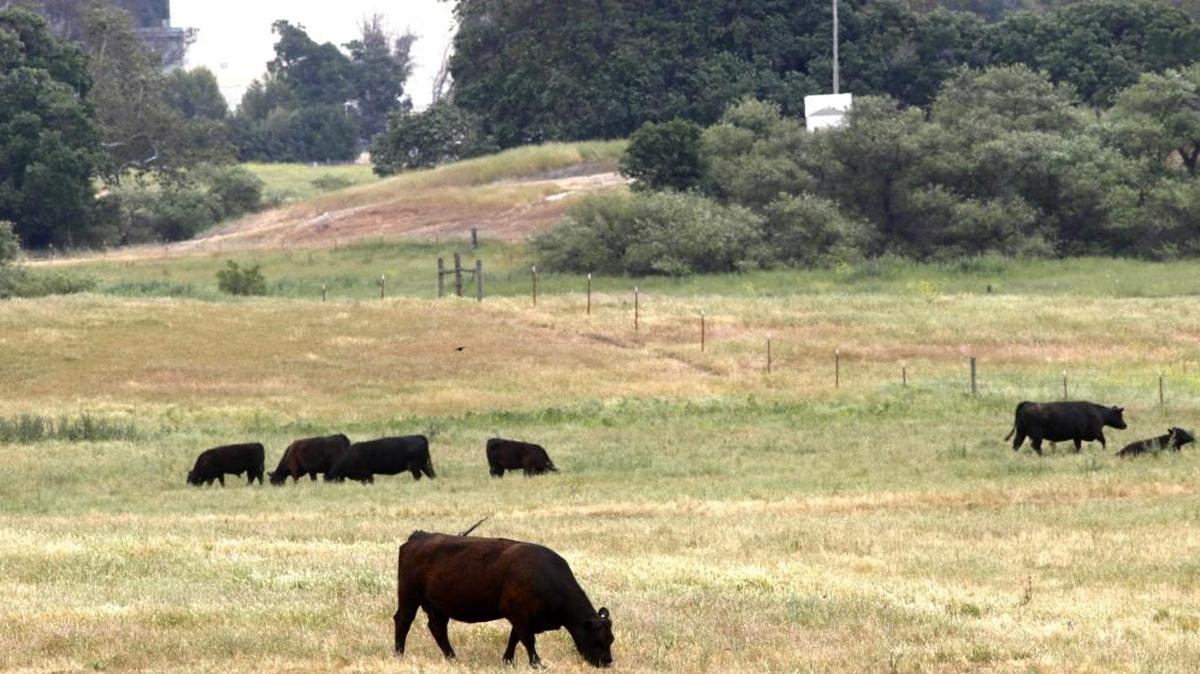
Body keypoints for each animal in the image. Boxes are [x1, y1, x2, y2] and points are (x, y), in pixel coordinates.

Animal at [393, 530, 613, 668]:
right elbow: (527, 639)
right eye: (599, 639)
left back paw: (452, 658)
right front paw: (537, 663)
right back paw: (399, 654)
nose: (607, 662)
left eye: (611, 639)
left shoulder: (521, 617)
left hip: (437, 606)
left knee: (437, 629)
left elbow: (514, 638)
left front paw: (508, 660)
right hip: (409, 596)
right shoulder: (519, 613)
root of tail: (420, 536)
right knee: (403, 621)